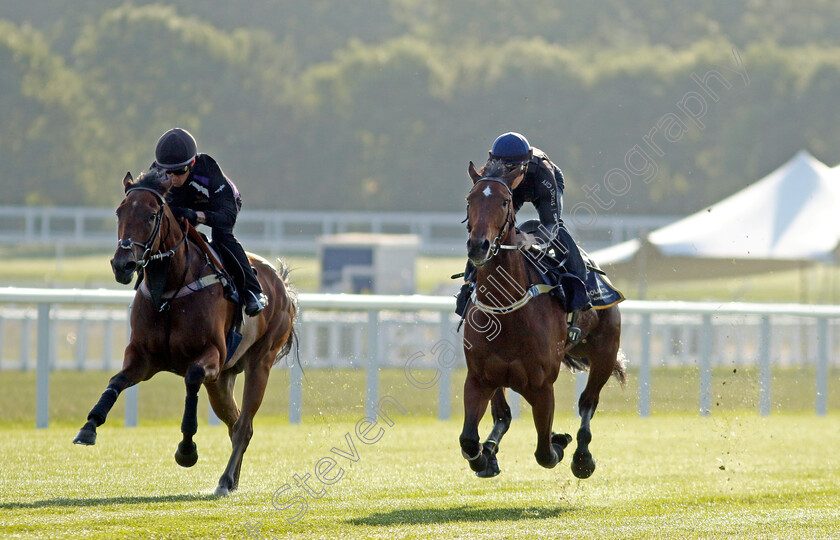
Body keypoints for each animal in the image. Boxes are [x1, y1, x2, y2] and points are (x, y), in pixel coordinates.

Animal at [74, 171, 298, 496]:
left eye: (151, 215)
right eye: (119, 211)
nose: (122, 264)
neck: (169, 290)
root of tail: (281, 283)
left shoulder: (212, 356)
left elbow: (191, 379)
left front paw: (187, 450)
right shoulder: (143, 358)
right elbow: (116, 381)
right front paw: (89, 426)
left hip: (260, 363)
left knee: (244, 425)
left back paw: (225, 481)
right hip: (223, 380)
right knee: (235, 423)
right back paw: (232, 480)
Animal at [460, 158, 624, 478]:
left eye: (505, 201)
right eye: (469, 200)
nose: (478, 245)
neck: (508, 311)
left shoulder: (541, 386)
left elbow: (545, 452)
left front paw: (560, 440)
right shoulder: (479, 377)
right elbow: (469, 440)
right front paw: (485, 457)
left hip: (605, 351)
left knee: (588, 403)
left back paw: (583, 457)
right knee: (502, 416)